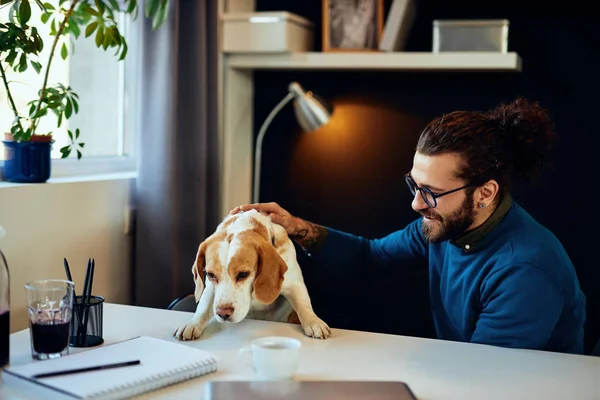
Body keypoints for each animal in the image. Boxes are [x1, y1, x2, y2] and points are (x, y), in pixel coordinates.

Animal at [176, 209, 330, 340]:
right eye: (211, 275)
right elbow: (203, 307)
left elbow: (304, 305)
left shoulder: (294, 284)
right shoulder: (210, 288)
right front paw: (193, 324)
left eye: (243, 274)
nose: (223, 314)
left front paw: (314, 322)